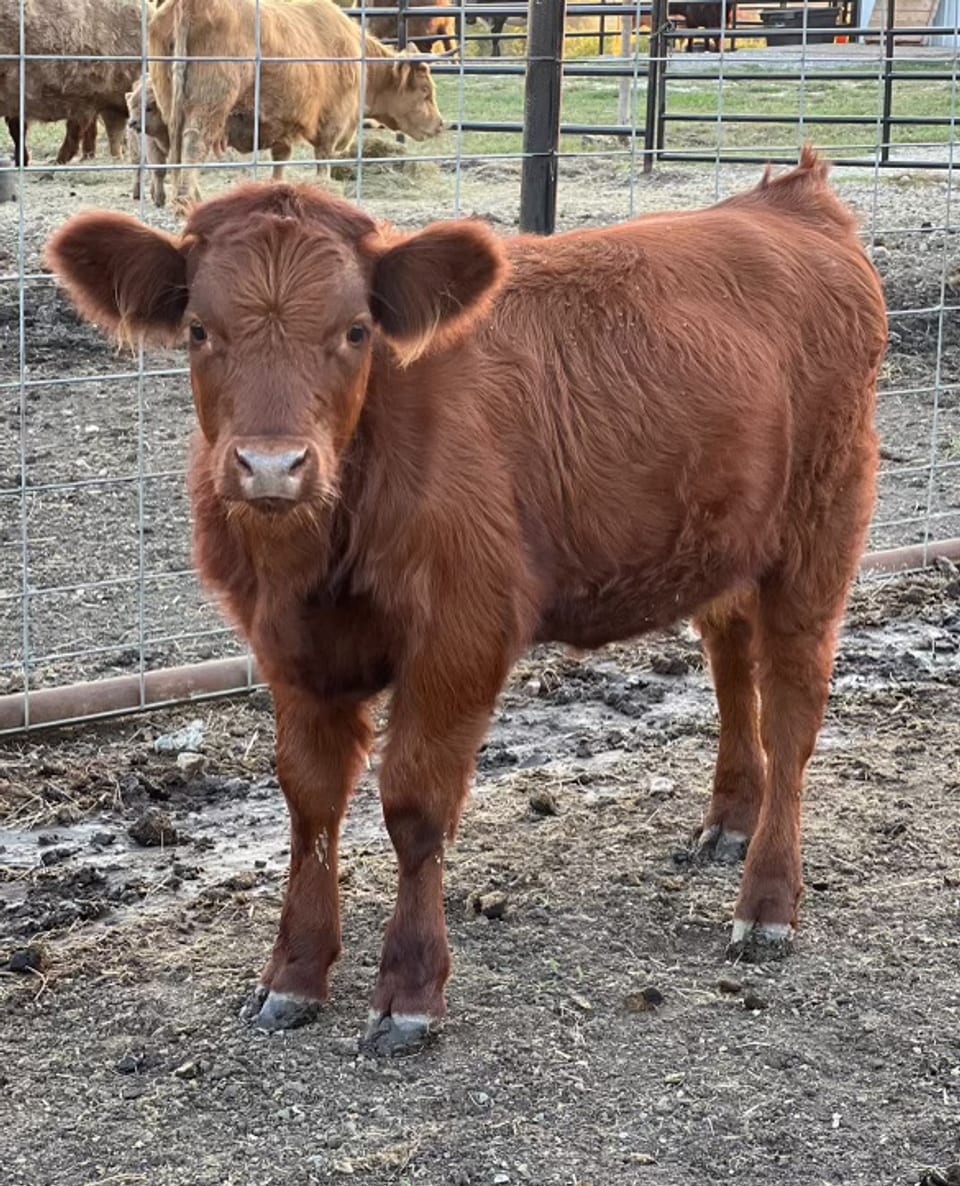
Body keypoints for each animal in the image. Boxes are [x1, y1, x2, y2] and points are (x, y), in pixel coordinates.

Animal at [45, 148, 887, 1054]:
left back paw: (767, 903)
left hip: (821, 532)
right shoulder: (288, 647)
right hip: (724, 540)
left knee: (793, 709)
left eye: (355, 331)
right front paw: (294, 974)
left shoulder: (459, 633)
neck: (322, 545)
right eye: (201, 330)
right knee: (733, 663)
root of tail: (789, 202)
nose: (272, 466)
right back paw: (729, 820)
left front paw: (410, 990)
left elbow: (414, 808)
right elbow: (309, 802)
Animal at [148, 0, 443, 215]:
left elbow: (281, 158)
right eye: (425, 91)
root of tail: (189, 5)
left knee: (177, 149)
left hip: (170, 103)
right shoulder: (332, 124)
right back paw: (187, 201)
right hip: (211, 101)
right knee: (195, 144)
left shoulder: (284, 124)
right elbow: (323, 160)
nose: (440, 124)